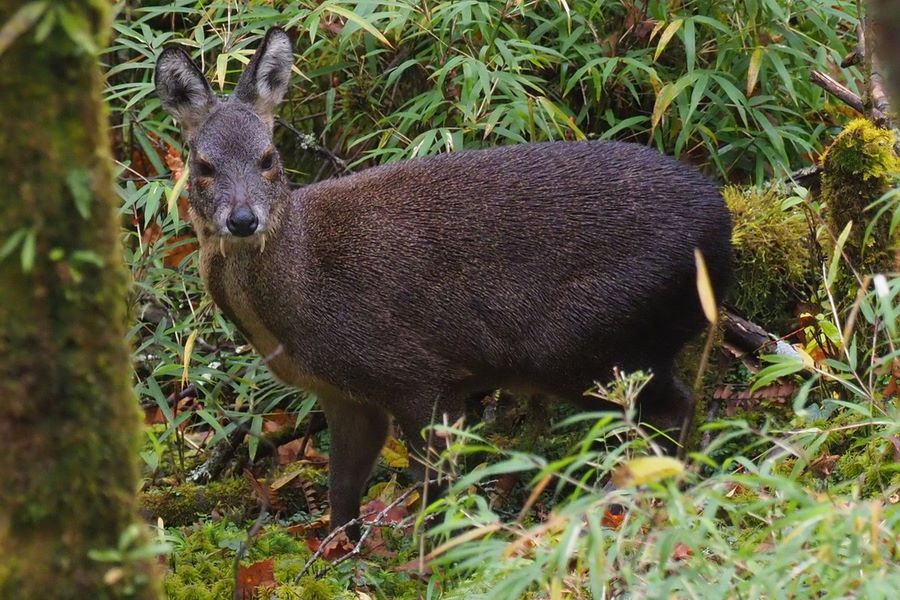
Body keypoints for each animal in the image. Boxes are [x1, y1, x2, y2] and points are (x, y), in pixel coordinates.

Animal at [155, 28, 733, 538]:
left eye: (269, 159)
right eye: (202, 165)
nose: (243, 219)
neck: (299, 298)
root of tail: (721, 230)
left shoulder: (416, 373)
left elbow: (437, 488)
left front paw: (429, 562)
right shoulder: (343, 394)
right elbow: (342, 492)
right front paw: (341, 559)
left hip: (586, 342)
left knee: (674, 406)